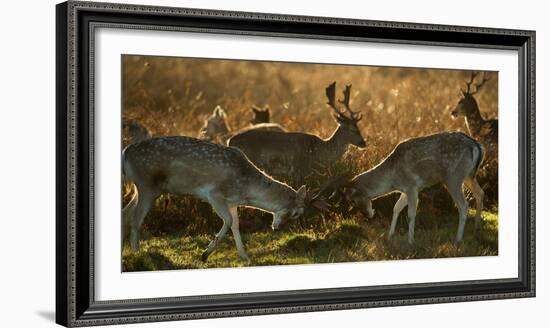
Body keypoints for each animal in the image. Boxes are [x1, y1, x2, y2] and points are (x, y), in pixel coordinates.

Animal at [123, 135, 332, 260]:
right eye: (297, 213)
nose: (277, 228)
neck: (246, 190)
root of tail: (125, 153)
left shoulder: (232, 202)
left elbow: (236, 225)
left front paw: (244, 256)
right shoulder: (214, 194)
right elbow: (229, 221)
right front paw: (205, 254)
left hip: (140, 188)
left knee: (126, 212)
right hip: (147, 185)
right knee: (136, 218)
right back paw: (137, 252)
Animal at [226, 82, 368, 183]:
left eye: (358, 127)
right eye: (352, 129)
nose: (364, 143)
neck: (319, 153)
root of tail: (230, 141)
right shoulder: (300, 169)